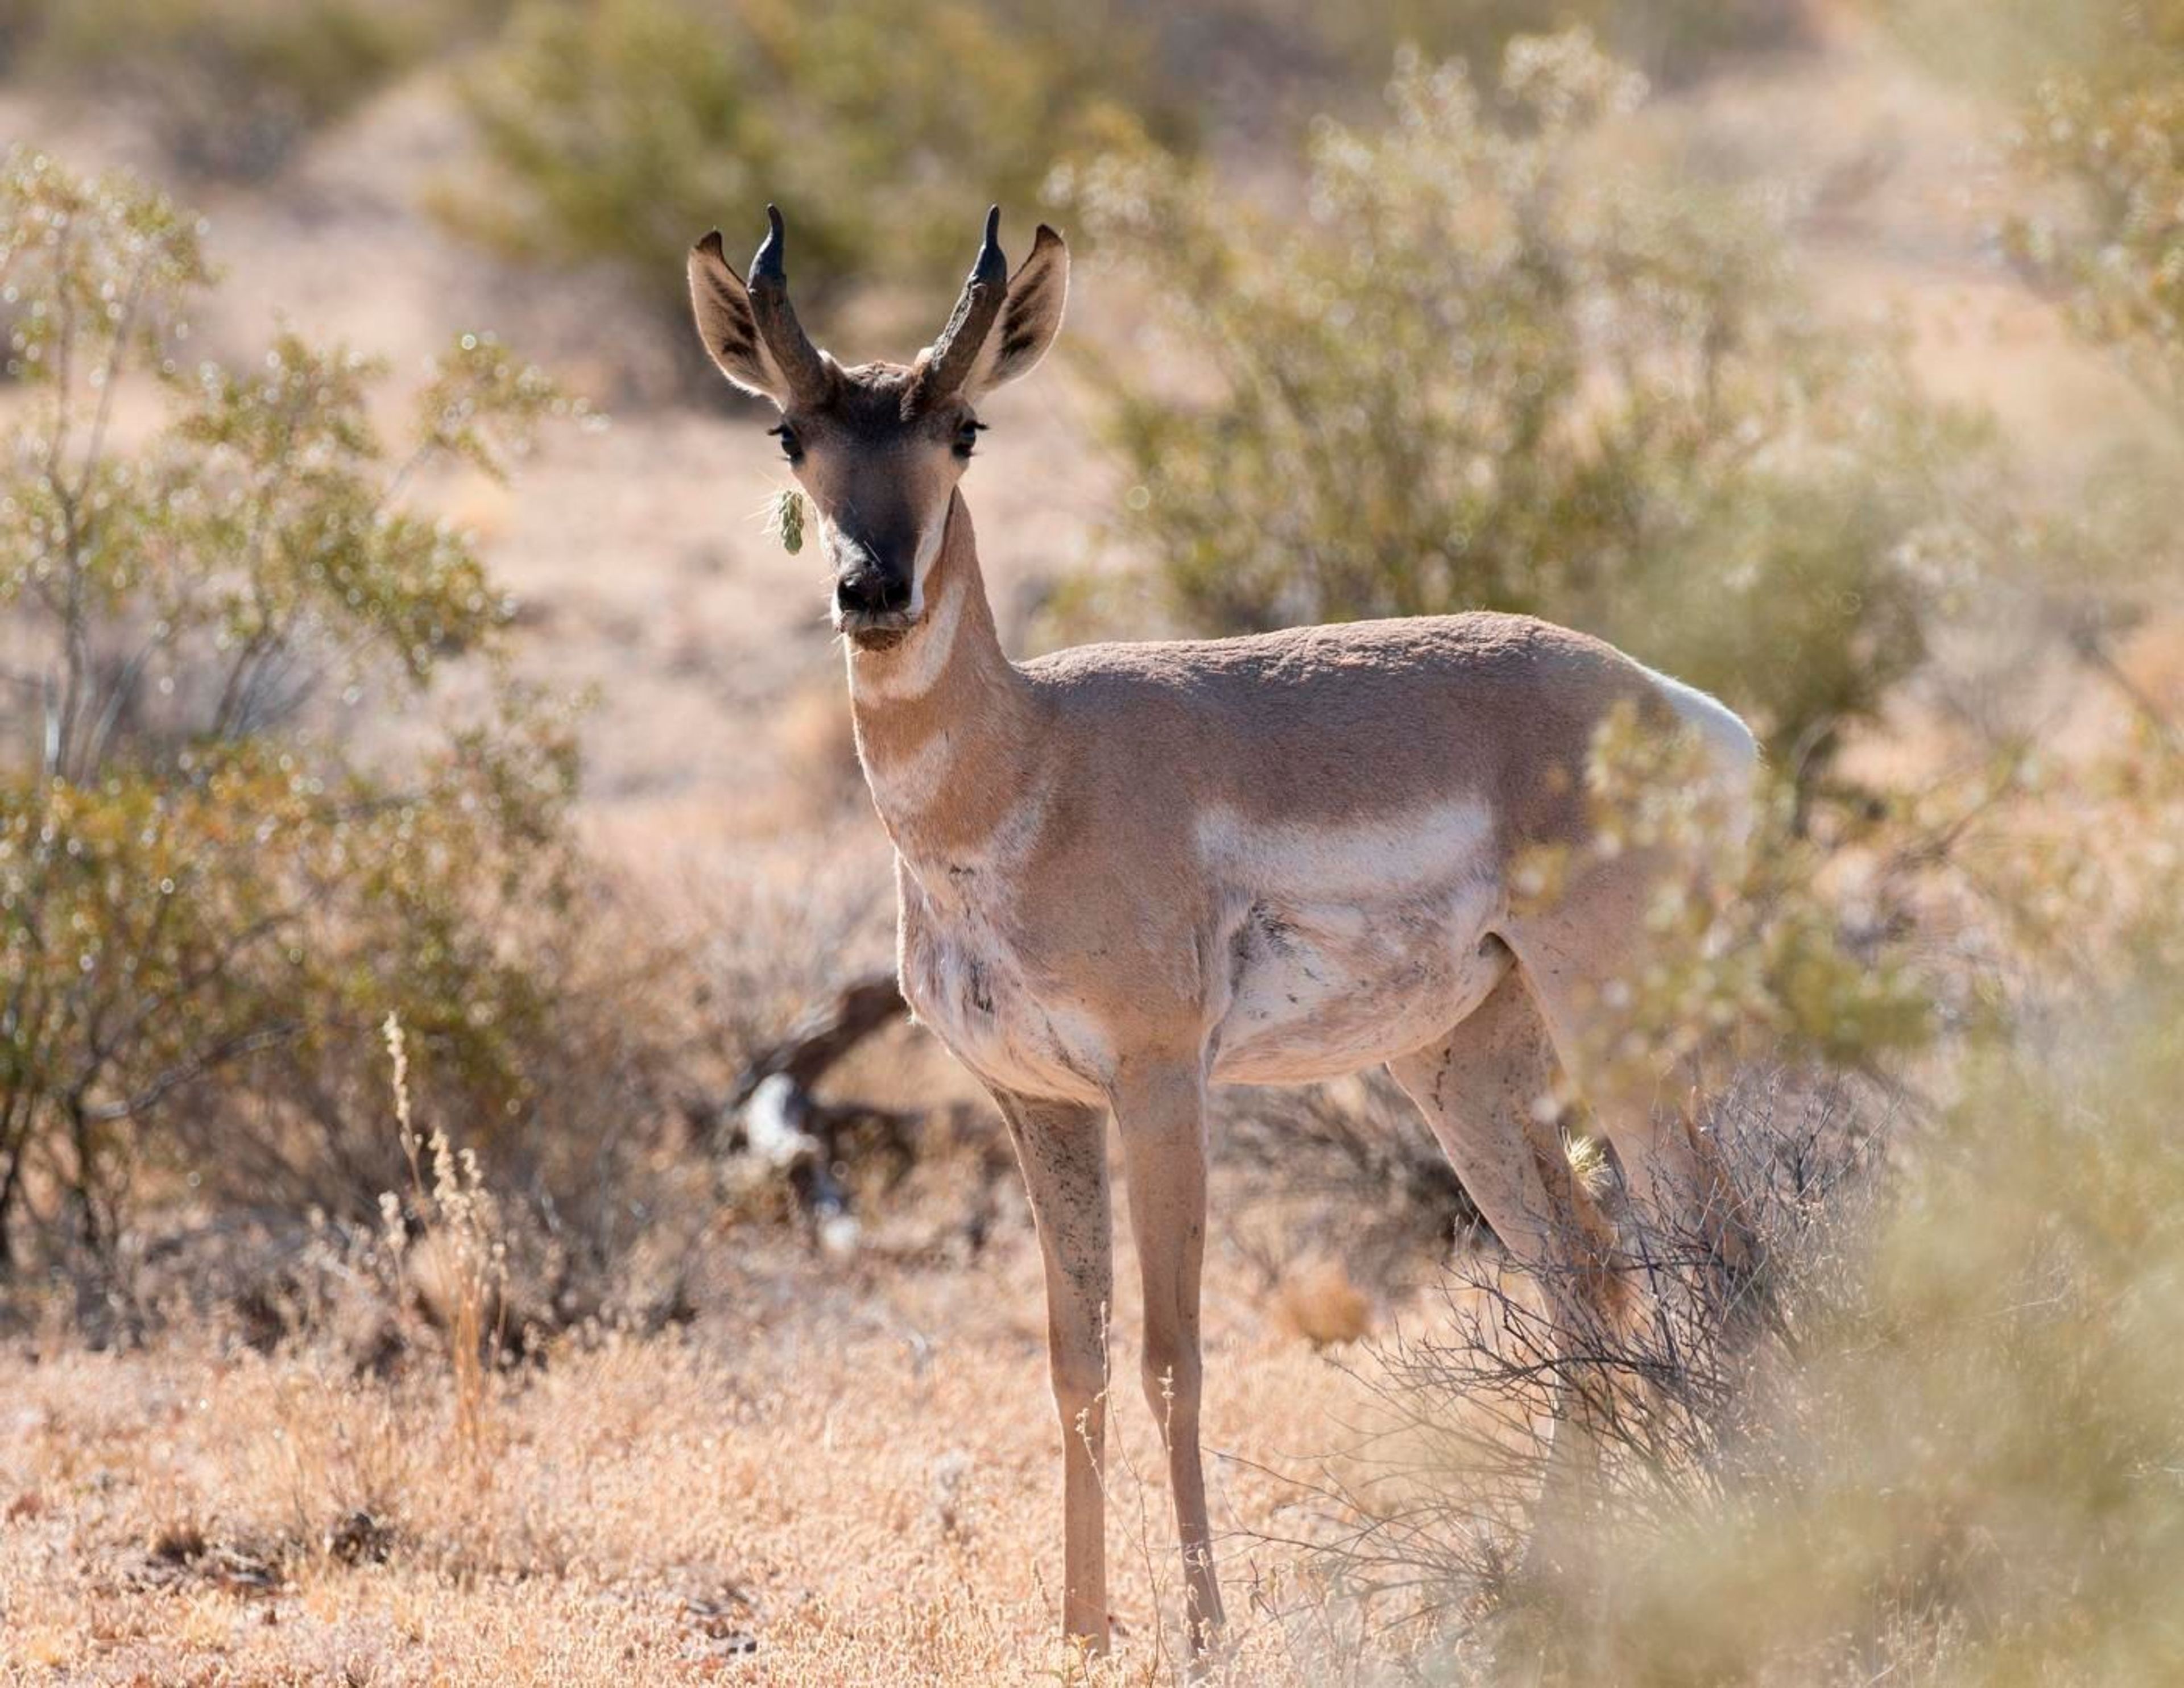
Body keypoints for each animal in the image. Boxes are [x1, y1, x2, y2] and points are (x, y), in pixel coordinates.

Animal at [690, 207, 1764, 1660]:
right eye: (789, 431)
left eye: (963, 426)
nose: (872, 588)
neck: (1031, 764)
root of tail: (1664, 702)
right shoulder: (1040, 1107)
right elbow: (1074, 1361)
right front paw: (1083, 1632)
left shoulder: (1160, 1088)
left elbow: (1170, 1357)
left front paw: (1203, 1630)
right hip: (1461, 1074)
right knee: (1588, 1277)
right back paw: (1545, 1590)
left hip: (1615, 1032)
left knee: (1718, 1255)